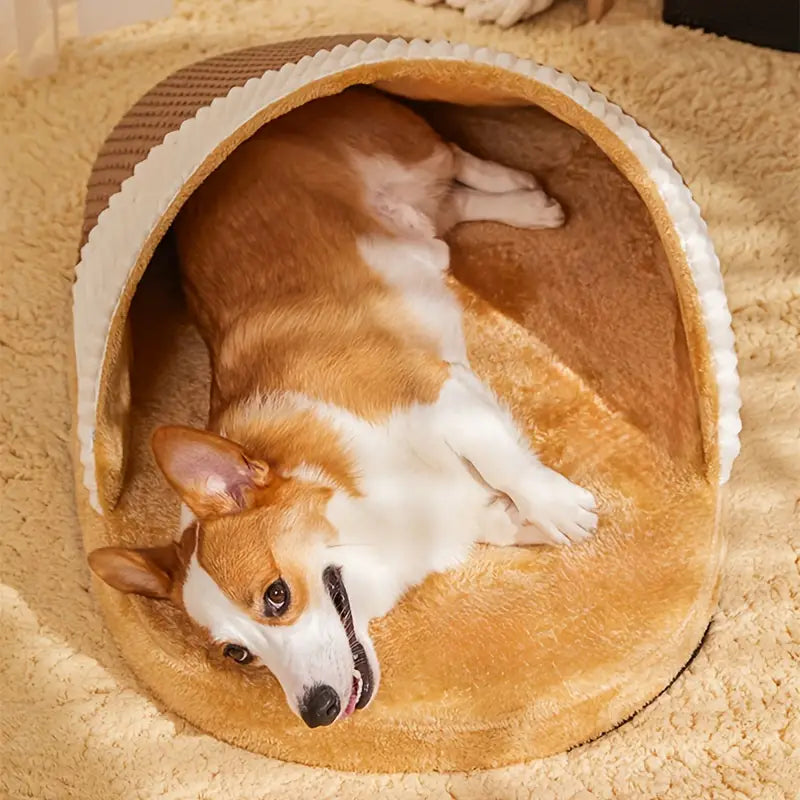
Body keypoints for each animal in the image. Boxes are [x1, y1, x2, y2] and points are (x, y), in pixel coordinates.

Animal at [90, 89, 596, 732]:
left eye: (277, 595)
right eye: (237, 654)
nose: (318, 711)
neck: (371, 521)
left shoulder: (442, 395)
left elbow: (508, 465)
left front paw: (560, 507)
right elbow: (505, 517)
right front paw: (541, 522)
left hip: (403, 150)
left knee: (454, 156)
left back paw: (527, 193)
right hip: (427, 222)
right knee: (447, 213)